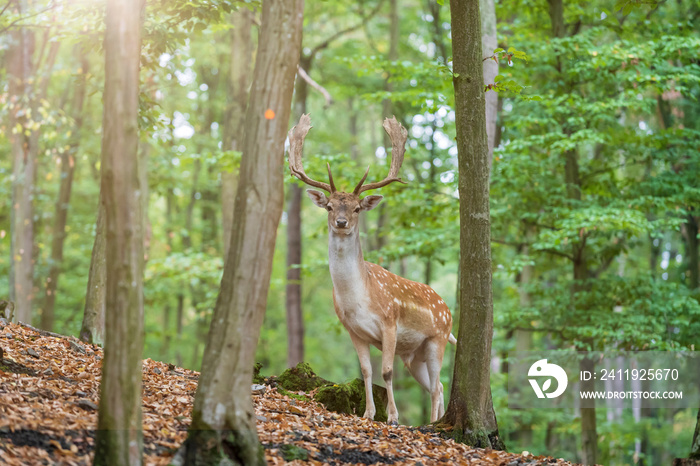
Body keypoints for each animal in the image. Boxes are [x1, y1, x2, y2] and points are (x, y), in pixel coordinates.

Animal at [288, 114, 456, 426]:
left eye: (357, 208)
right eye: (329, 207)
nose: (341, 222)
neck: (358, 298)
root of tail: (448, 309)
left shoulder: (390, 322)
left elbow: (386, 372)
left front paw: (393, 417)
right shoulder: (354, 330)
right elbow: (366, 371)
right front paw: (368, 413)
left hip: (437, 338)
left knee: (438, 383)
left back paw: (431, 423)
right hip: (413, 355)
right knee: (436, 385)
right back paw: (435, 421)